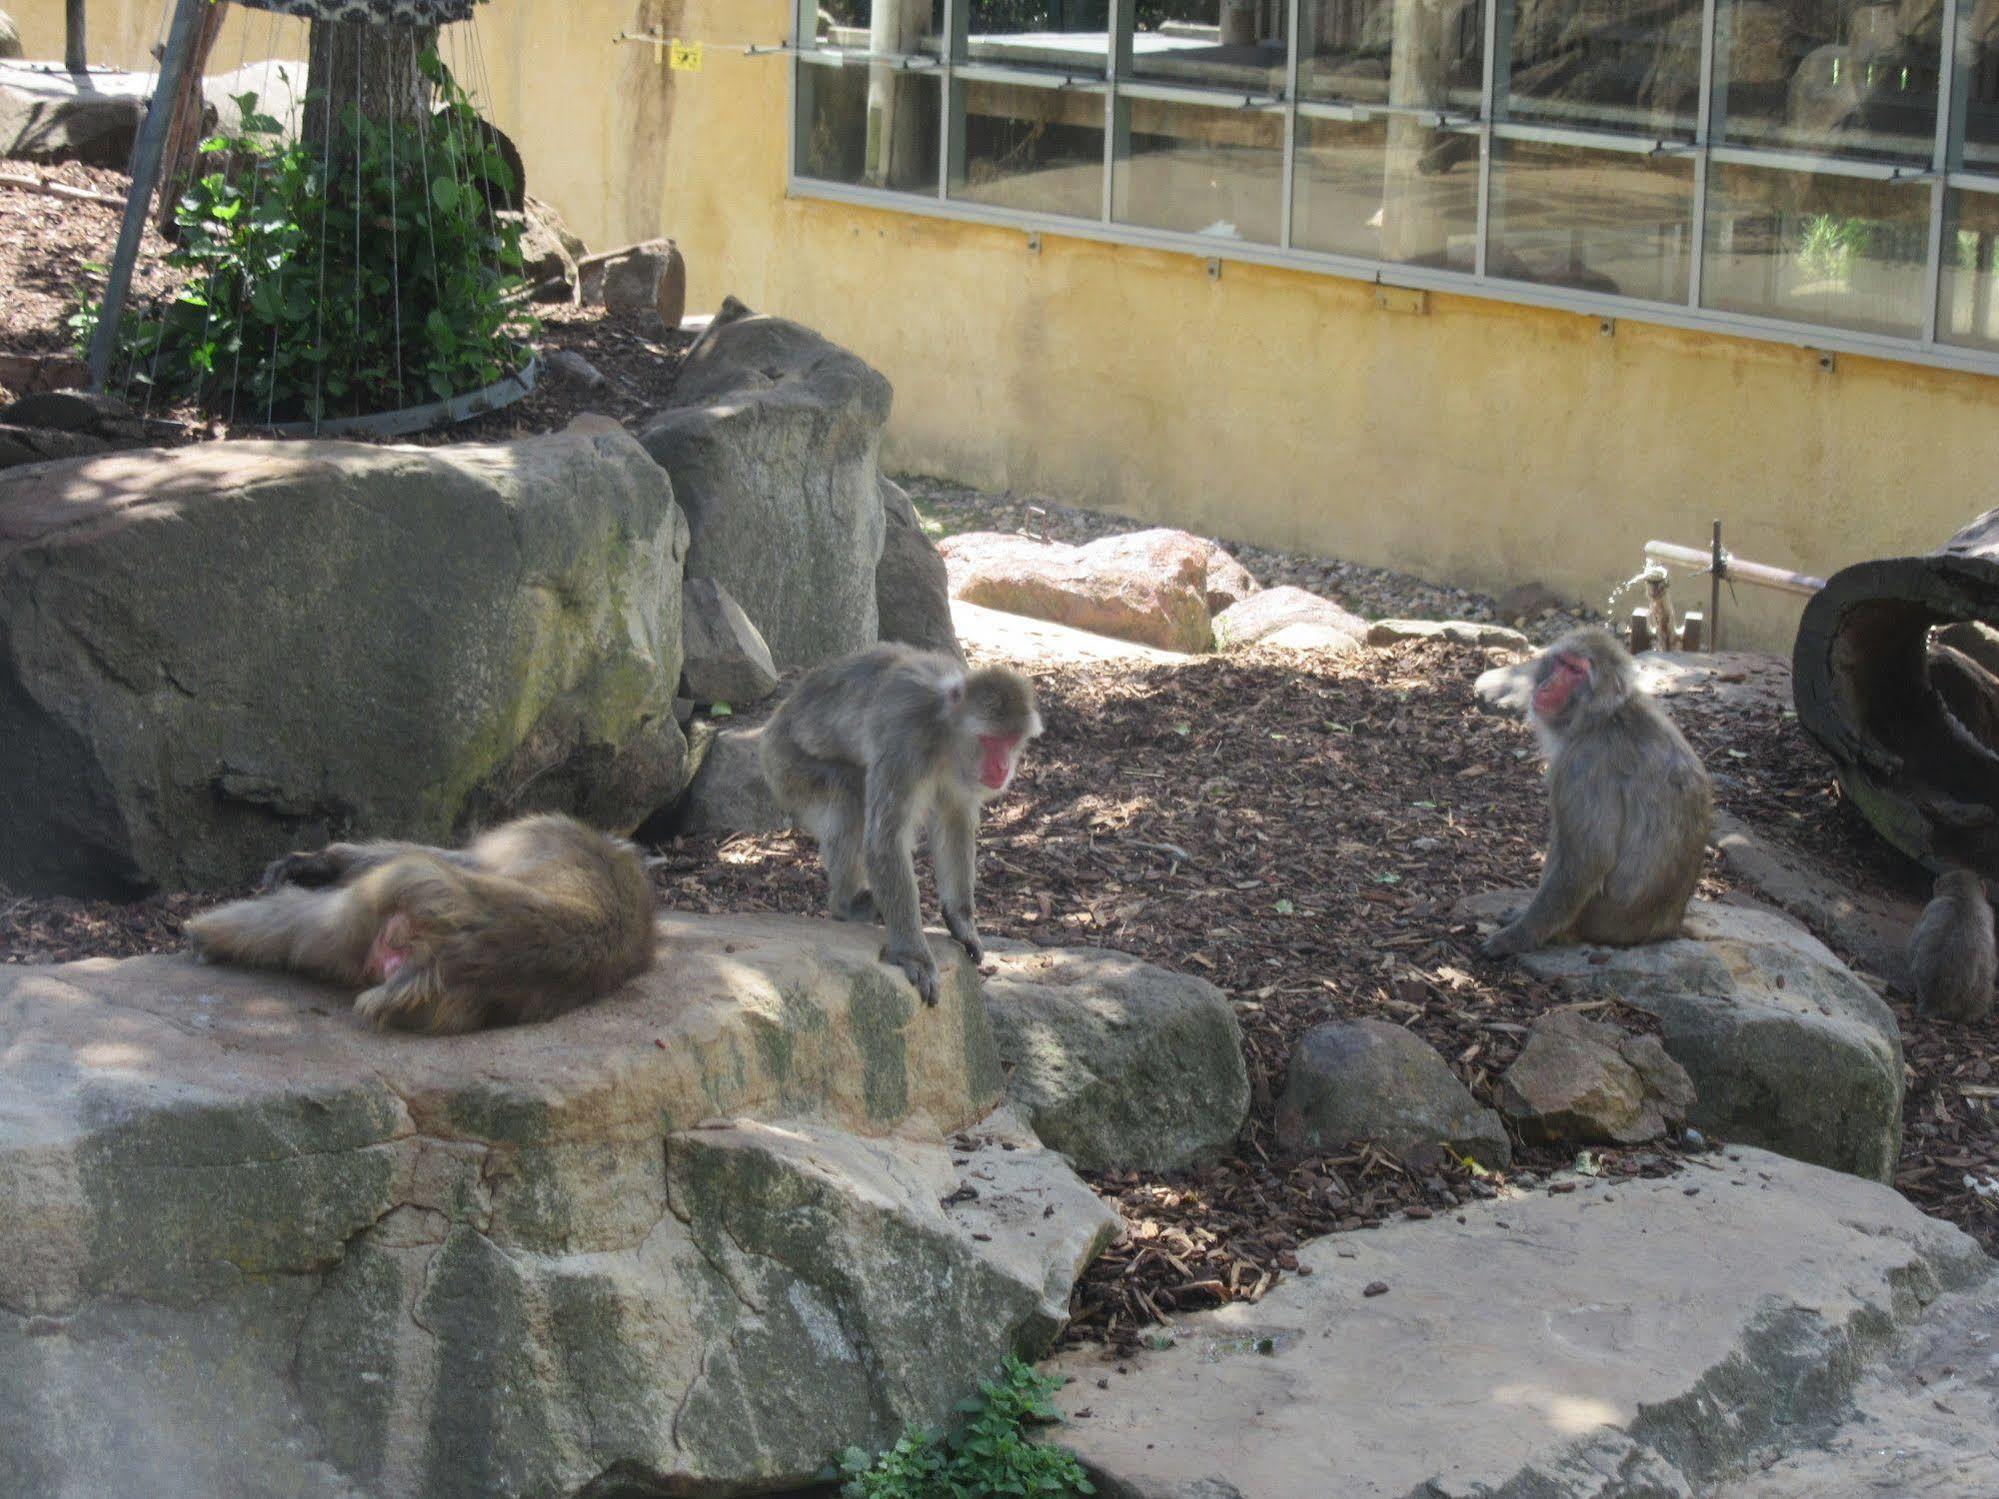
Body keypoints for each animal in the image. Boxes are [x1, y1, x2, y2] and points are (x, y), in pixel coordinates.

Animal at [759, 647, 1047, 1011]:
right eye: (989, 741)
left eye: (1011, 741)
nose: (1002, 767)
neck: (944, 729)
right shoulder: (905, 738)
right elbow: (886, 839)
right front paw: (914, 955)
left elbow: (954, 817)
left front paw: (961, 920)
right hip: (786, 767)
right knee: (850, 791)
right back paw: (845, 904)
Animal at [1479, 627, 1711, 955]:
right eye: (1561, 663)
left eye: (1576, 671)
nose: (1548, 686)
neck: (1602, 716)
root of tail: (1666, 927)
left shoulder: (1582, 764)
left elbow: (1589, 859)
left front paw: (1519, 935)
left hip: (1593, 920)